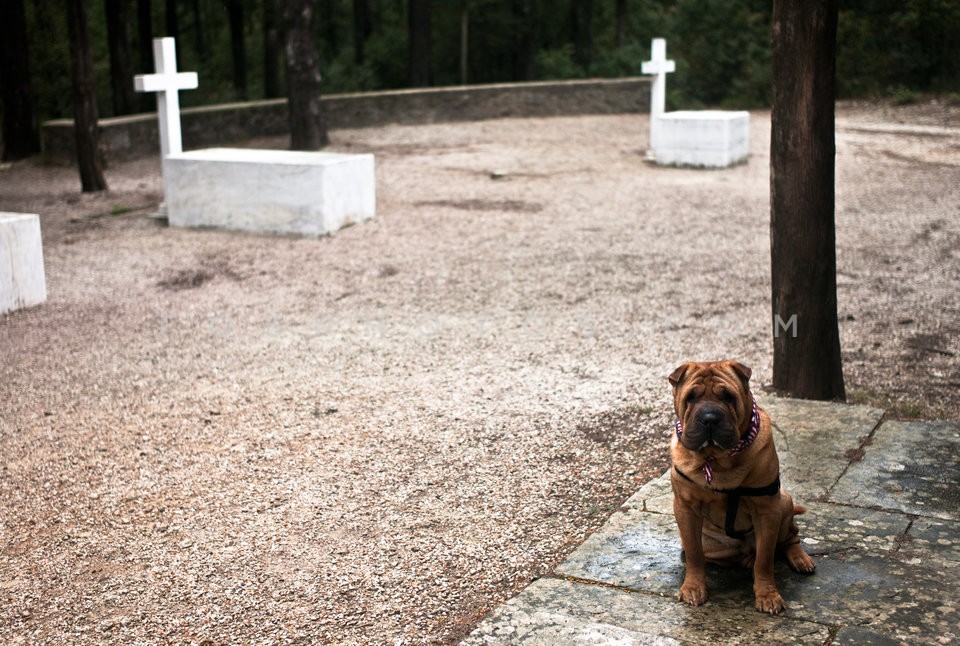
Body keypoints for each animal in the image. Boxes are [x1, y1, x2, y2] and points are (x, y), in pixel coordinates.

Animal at [668, 362, 816, 616]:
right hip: (713, 544)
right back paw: (745, 560)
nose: (709, 418)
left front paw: (768, 595)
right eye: (691, 397)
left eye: (728, 396)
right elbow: (695, 554)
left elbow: (765, 559)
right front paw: (693, 588)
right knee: (726, 555)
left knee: (790, 538)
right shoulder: (685, 508)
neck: (716, 460)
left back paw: (800, 560)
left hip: (784, 502)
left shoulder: (767, 510)